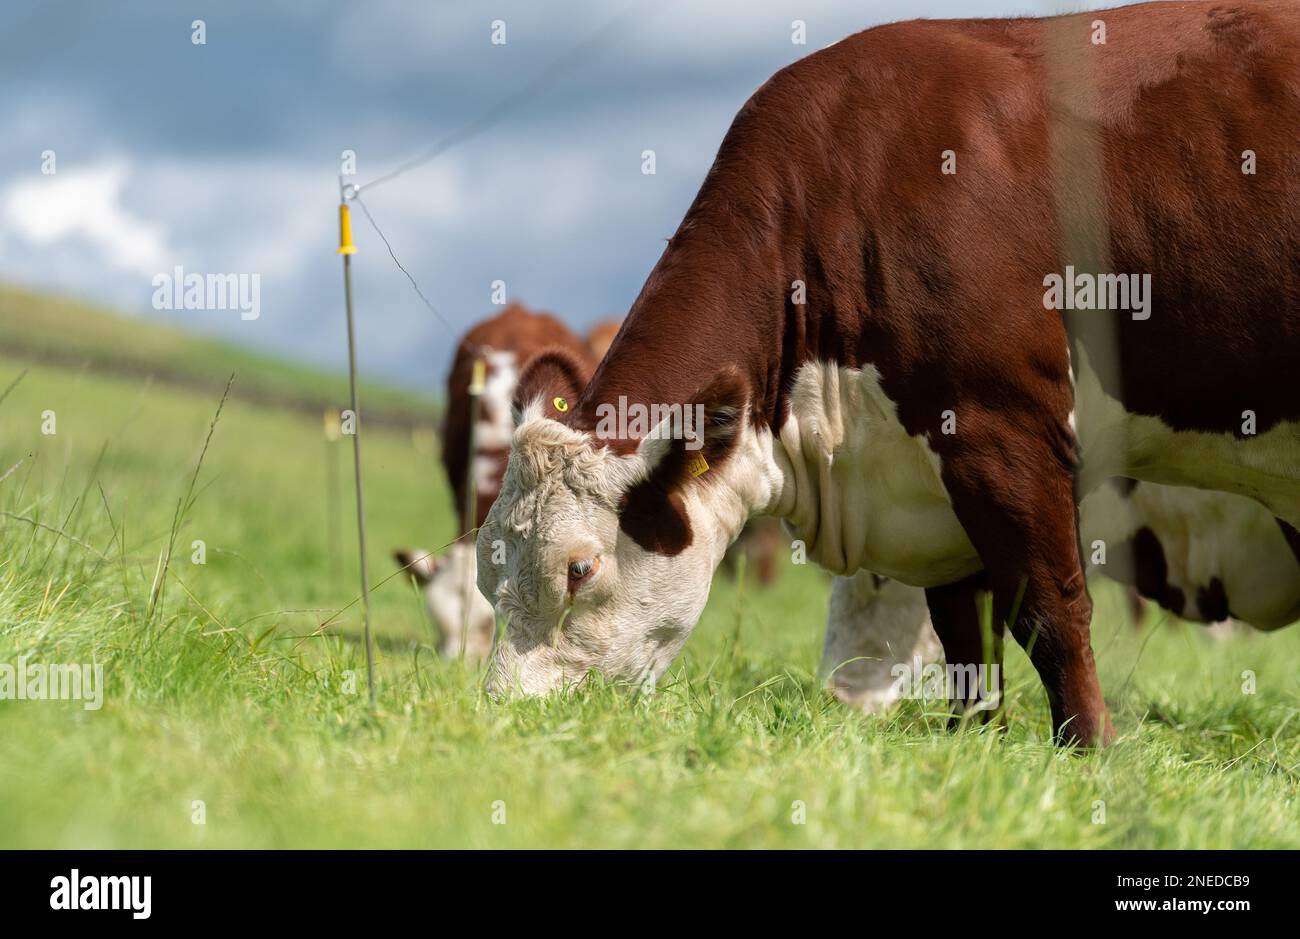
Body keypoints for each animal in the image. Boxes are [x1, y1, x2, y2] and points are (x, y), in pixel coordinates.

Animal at [475, 1, 1300, 743]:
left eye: (579, 568)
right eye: (488, 572)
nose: (507, 713)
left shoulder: (1003, 432)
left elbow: (1051, 610)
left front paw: (1087, 745)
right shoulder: (927, 485)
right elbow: (965, 635)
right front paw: (971, 739)